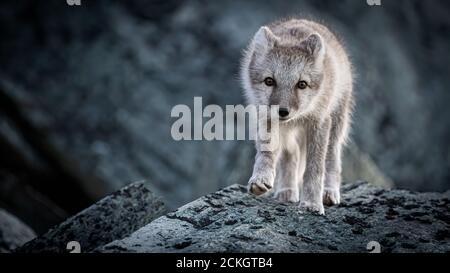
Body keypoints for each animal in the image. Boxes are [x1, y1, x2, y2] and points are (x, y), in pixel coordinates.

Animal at [241, 19, 354, 215]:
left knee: (332, 159)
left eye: (302, 84)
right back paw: (287, 191)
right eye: (269, 81)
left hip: (335, 126)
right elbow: (266, 153)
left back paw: (329, 192)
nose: (283, 111)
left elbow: (314, 168)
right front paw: (261, 178)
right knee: (291, 153)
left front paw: (311, 203)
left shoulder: (319, 122)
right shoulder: (265, 116)